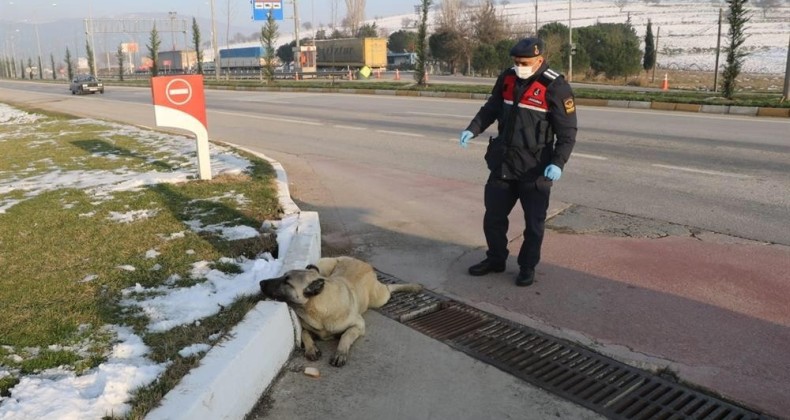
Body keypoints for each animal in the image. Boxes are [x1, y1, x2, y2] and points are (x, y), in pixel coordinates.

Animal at [258, 254, 420, 366]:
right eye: (283, 276)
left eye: (287, 282)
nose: (261, 282)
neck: (321, 307)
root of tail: (364, 263)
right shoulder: (307, 327)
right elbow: (304, 333)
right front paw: (311, 348)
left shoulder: (359, 325)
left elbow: (346, 336)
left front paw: (340, 352)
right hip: (322, 264)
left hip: (379, 298)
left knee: (388, 288)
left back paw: (412, 287)